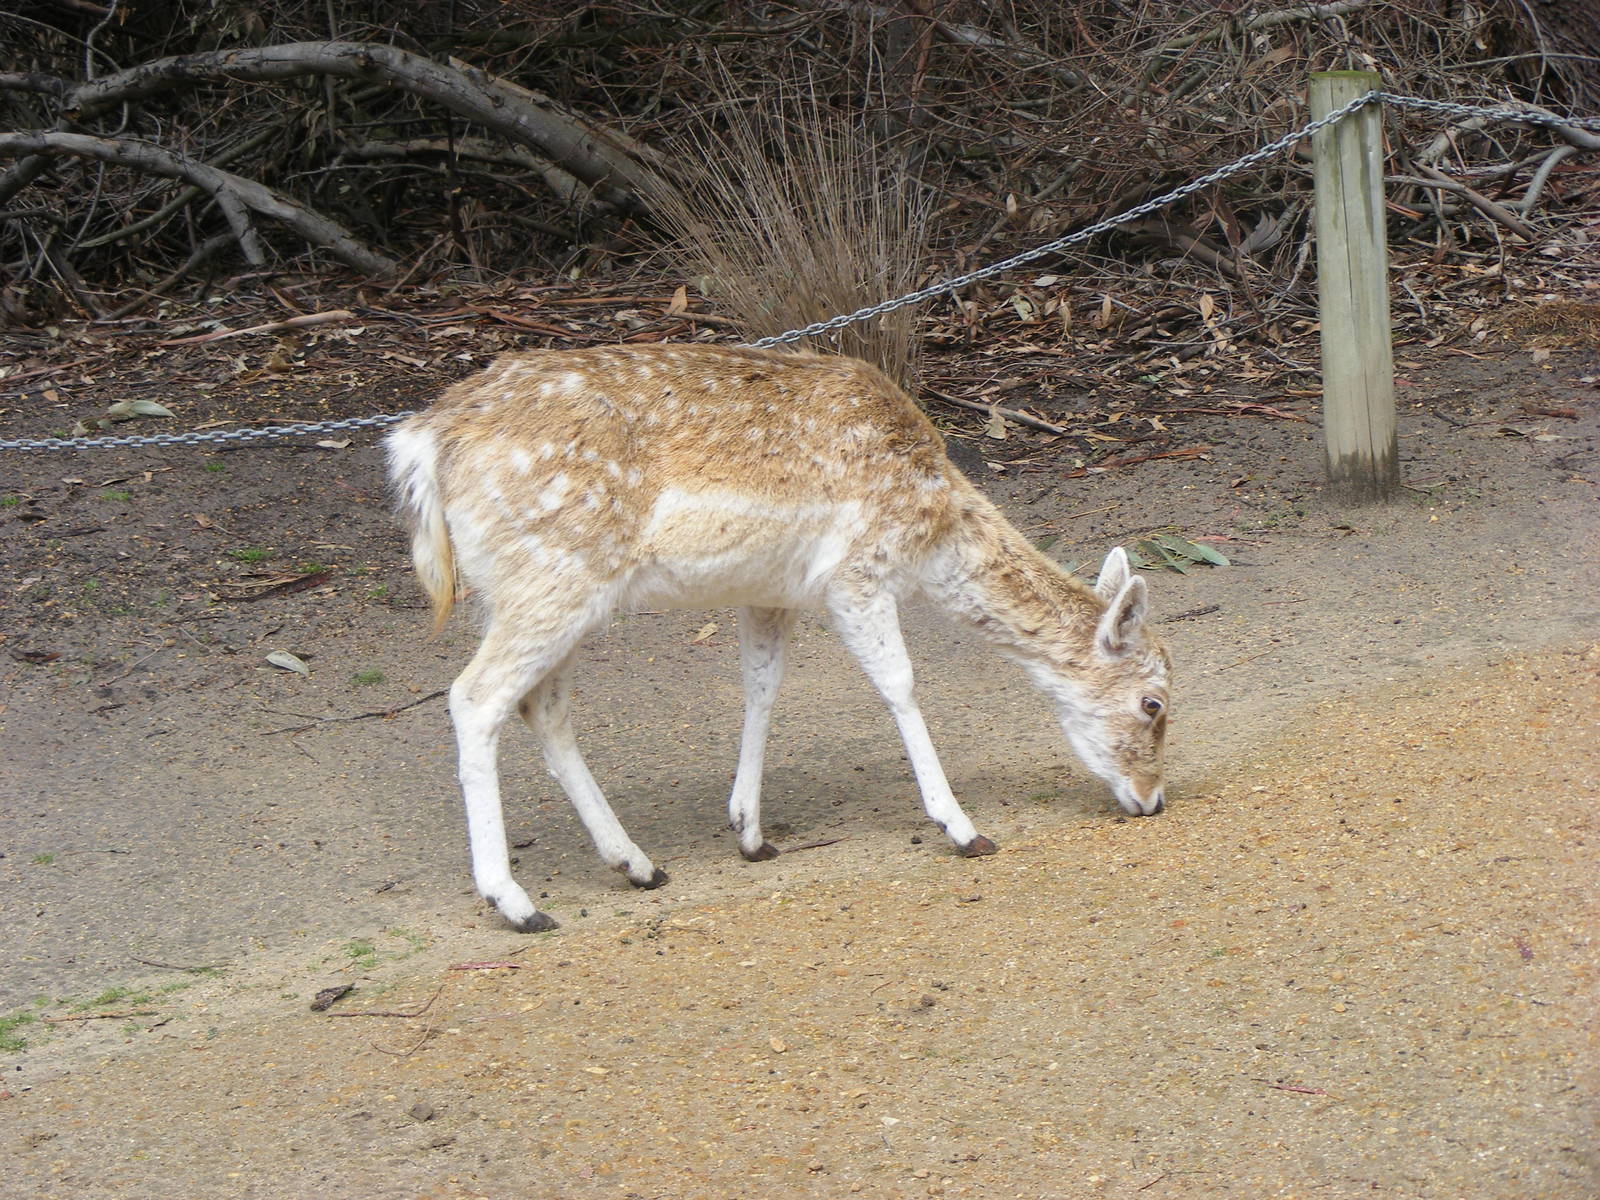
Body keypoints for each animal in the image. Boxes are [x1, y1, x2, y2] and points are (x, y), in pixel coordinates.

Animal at [387, 343, 1170, 932]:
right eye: (1154, 703)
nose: (1153, 799)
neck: (934, 530)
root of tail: (421, 442)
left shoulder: (770, 591)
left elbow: (762, 687)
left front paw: (750, 831)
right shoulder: (855, 572)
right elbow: (901, 684)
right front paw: (963, 827)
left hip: (542, 593)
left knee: (541, 708)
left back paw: (636, 863)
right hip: (550, 577)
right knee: (475, 697)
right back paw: (515, 902)